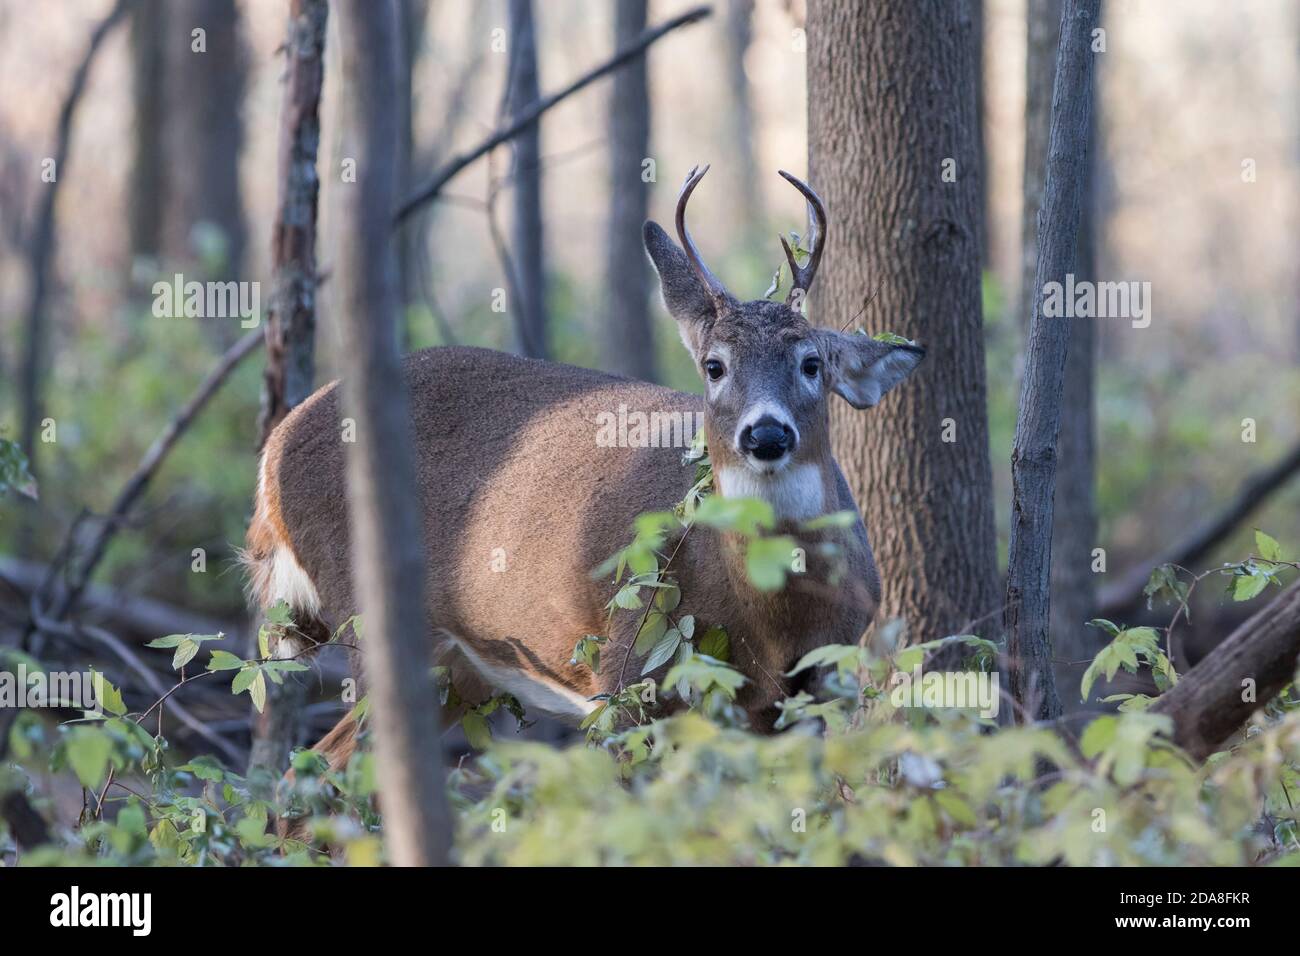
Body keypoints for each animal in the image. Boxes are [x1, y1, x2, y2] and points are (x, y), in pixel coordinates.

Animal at [243, 166, 925, 777]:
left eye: (812, 363)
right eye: (714, 365)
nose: (766, 434)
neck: (775, 621)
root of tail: (275, 446)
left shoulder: (820, 680)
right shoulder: (626, 670)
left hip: (461, 670)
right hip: (367, 614)